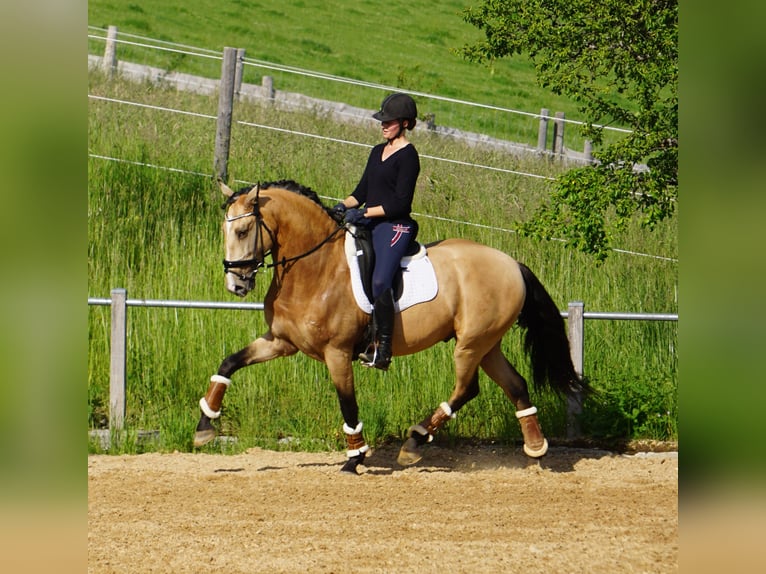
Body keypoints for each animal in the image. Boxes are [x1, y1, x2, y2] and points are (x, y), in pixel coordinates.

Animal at [195, 179, 592, 472]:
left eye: (243, 230)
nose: (236, 285)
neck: (315, 268)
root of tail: (512, 264)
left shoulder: (337, 353)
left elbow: (348, 404)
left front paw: (355, 457)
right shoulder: (280, 341)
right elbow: (229, 363)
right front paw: (204, 427)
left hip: (471, 344)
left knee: (467, 388)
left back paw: (415, 441)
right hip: (487, 343)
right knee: (515, 385)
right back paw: (536, 448)